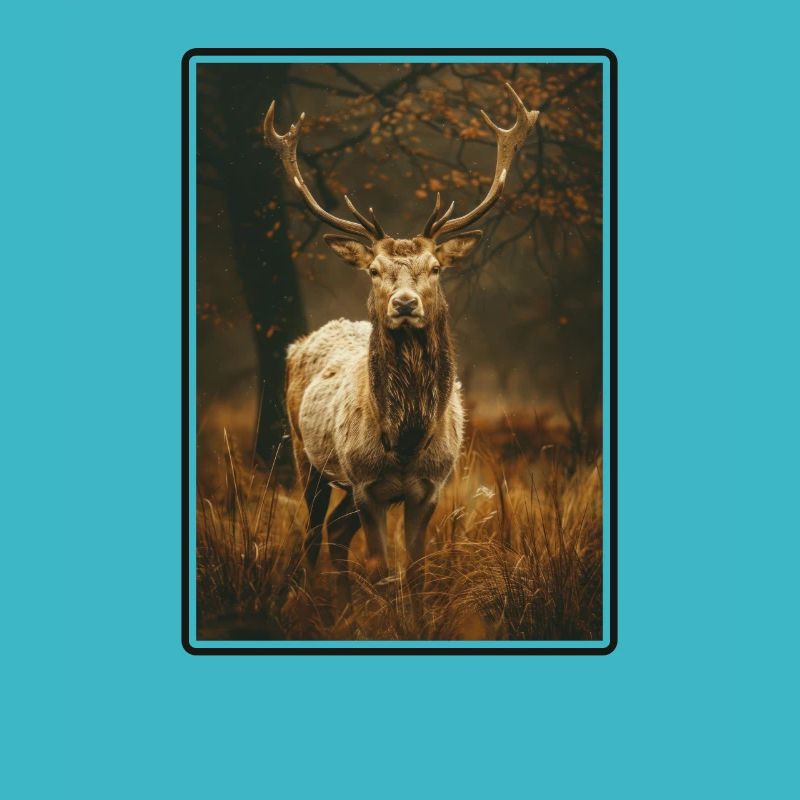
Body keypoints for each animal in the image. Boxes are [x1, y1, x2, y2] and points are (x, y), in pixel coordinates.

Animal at [263, 83, 539, 607]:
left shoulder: (430, 488)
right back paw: (313, 599)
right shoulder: (366, 485)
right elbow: (381, 568)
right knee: (313, 533)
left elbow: (414, 571)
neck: (406, 436)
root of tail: (295, 346)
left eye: (436, 267)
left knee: (335, 532)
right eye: (374, 270)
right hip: (305, 456)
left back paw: (342, 604)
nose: (405, 303)